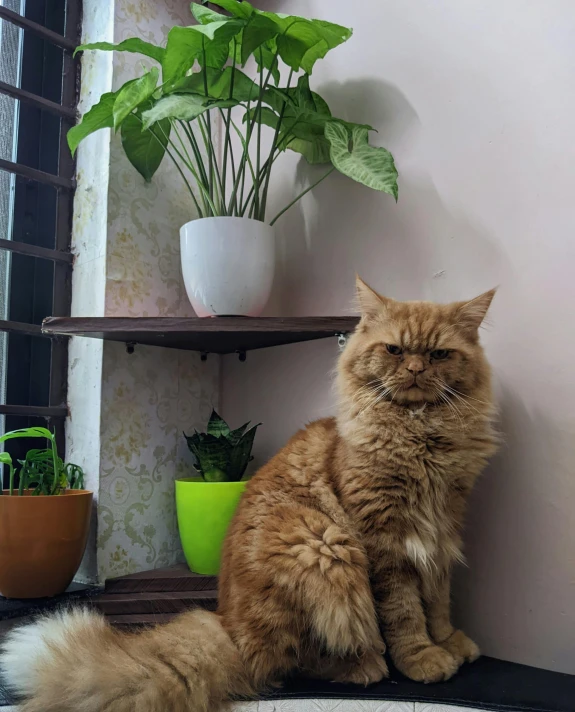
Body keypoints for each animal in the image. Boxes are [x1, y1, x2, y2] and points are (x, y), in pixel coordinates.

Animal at [0, 278, 498, 712]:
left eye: (438, 354)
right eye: (395, 350)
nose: (414, 370)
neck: (421, 436)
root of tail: (229, 629)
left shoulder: (442, 530)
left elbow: (438, 600)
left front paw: (449, 641)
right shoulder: (384, 541)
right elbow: (404, 613)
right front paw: (423, 658)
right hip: (323, 547)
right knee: (293, 662)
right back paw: (365, 666)